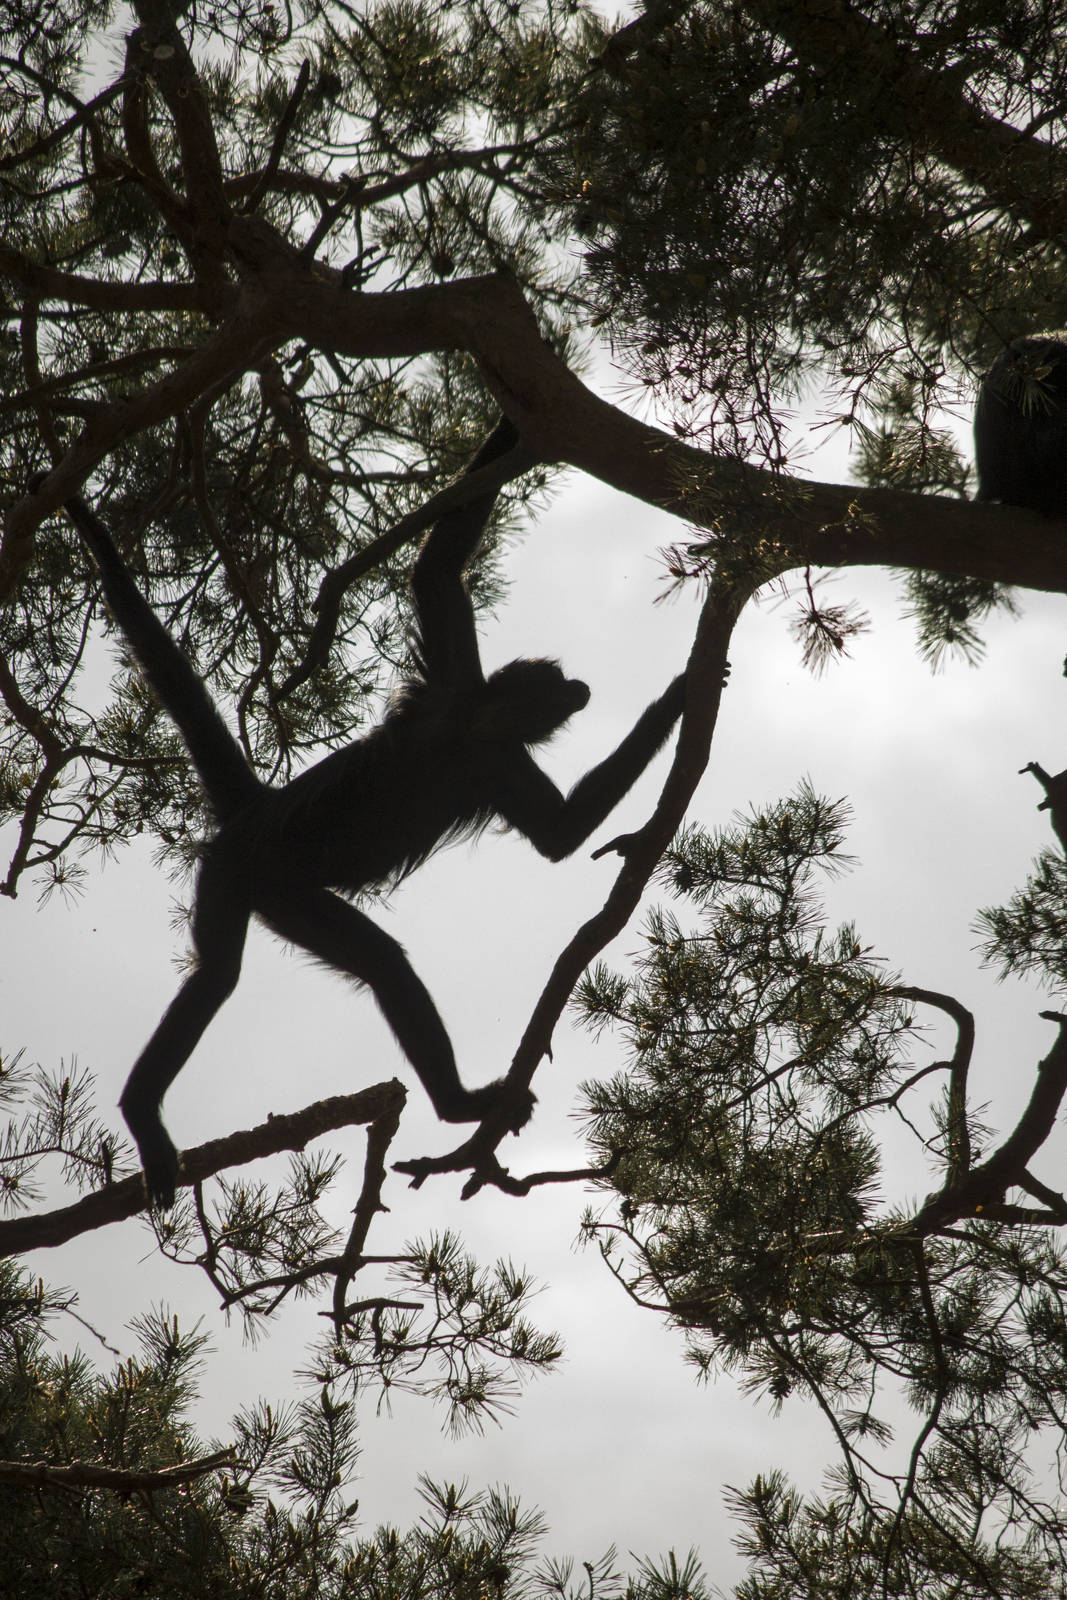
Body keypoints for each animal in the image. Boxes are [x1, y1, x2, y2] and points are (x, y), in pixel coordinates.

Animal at [35, 421, 685, 1207]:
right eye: (558, 682)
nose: (583, 689)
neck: (470, 726)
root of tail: (261, 809)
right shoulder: (463, 704)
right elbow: (437, 570)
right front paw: (678, 697)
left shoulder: (489, 751)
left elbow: (556, 834)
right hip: (250, 873)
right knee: (315, 970)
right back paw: (452, 1106)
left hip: (260, 890)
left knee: (234, 968)